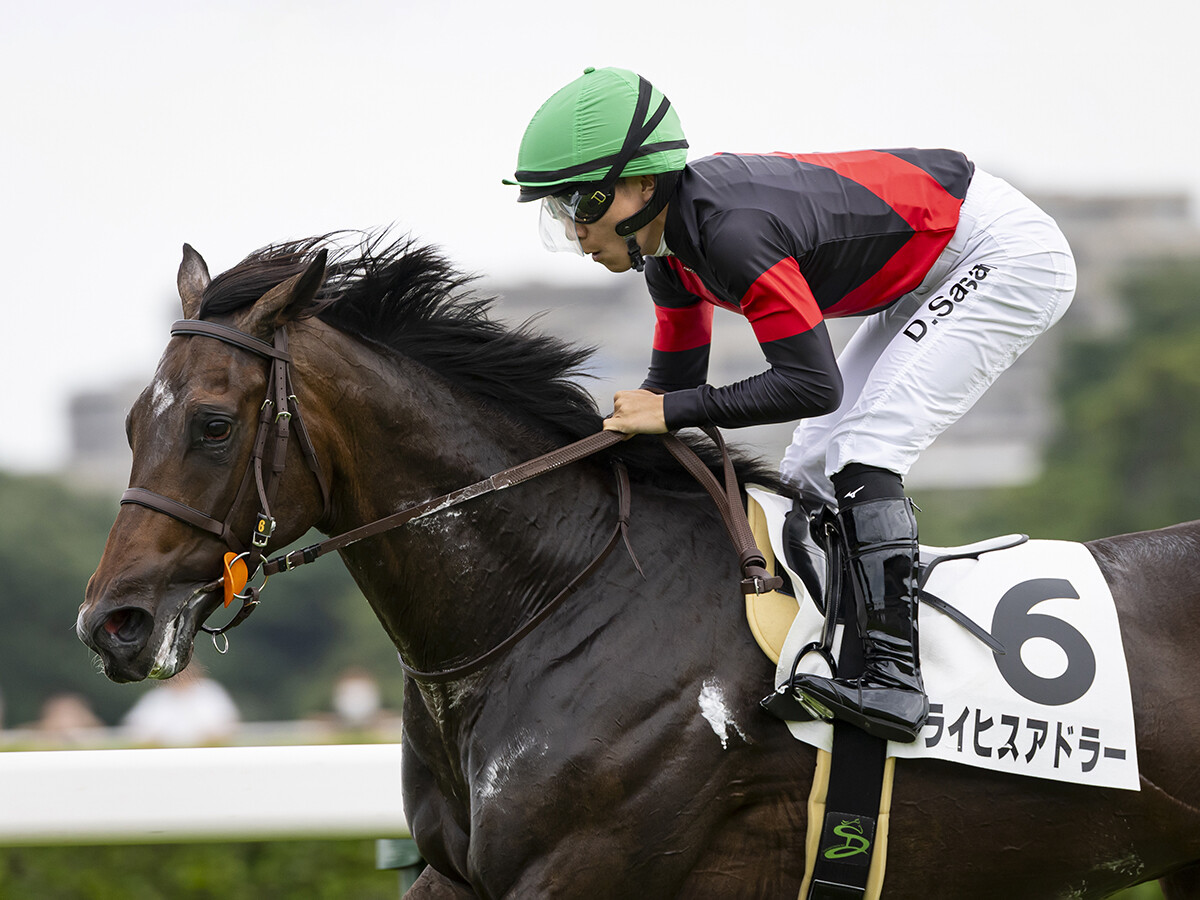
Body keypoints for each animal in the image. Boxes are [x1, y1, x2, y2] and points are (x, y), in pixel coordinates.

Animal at [78, 234, 1200, 899]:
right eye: (127, 424)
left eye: (214, 424)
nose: (112, 623)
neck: (554, 597)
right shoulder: (455, 875)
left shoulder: (583, 871)